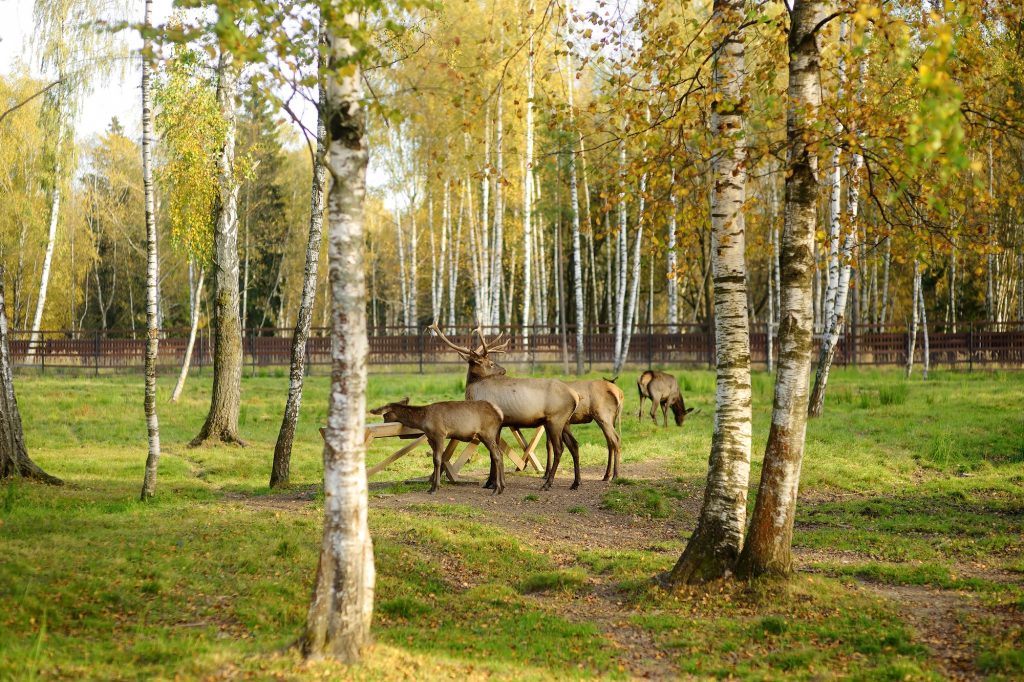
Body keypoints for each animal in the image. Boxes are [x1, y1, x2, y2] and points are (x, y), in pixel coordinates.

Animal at [372, 395, 507, 491]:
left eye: (385, 416)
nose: (383, 425)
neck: (423, 421)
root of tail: (500, 414)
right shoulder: (431, 437)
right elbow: (437, 459)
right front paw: (434, 484)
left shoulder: (440, 434)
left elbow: (437, 459)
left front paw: (434, 487)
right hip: (492, 435)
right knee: (500, 453)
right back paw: (502, 484)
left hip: (487, 433)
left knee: (496, 454)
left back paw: (497, 488)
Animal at [425, 323, 585, 489]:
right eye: (491, 363)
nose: (503, 370)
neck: (474, 390)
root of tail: (575, 395)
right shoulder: (498, 424)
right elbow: (495, 452)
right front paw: (491, 482)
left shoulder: (490, 423)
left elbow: (493, 453)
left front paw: (491, 483)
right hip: (565, 421)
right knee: (574, 445)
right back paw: (576, 483)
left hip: (556, 419)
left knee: (560, 448)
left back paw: (548, 483)